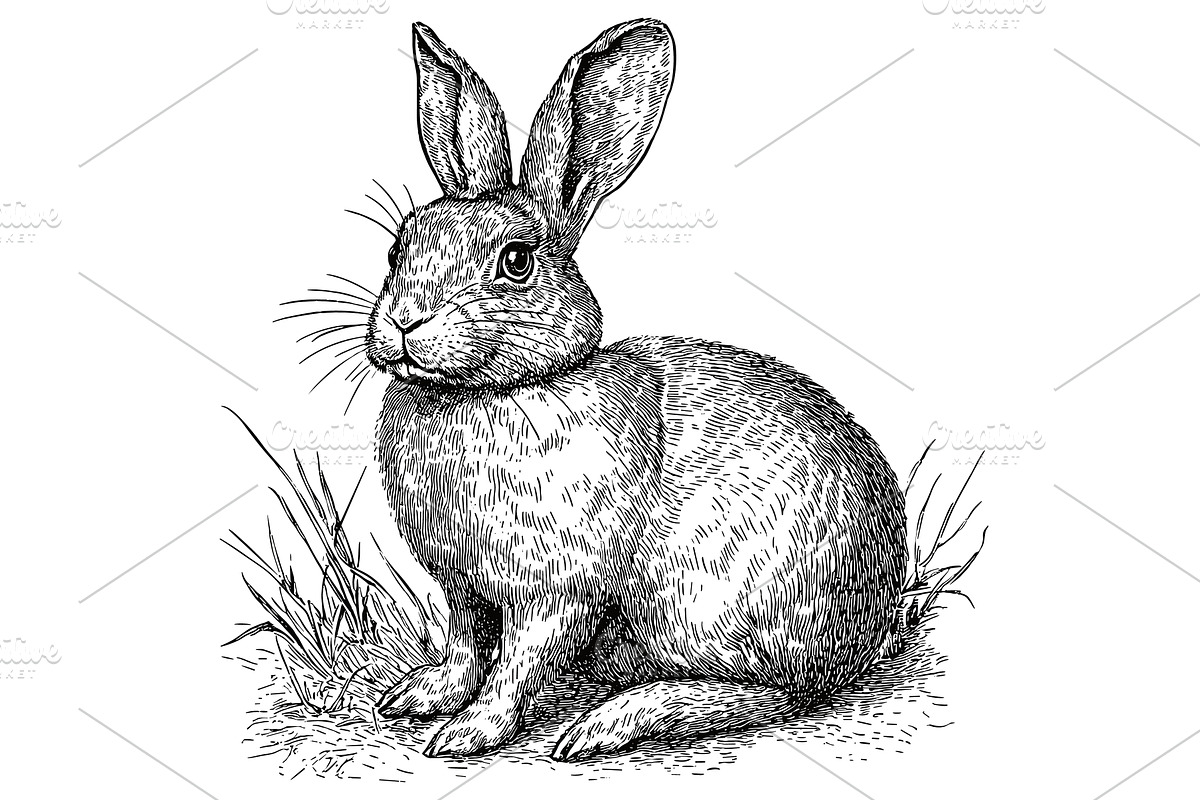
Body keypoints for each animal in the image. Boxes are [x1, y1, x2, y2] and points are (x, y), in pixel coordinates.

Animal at [367, 19, 908, 762]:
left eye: (516, 262)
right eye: (400, 244)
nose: (403, 321)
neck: (491, 391)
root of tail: (872, 618)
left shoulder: (556, 591)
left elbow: (518, 664)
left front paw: (467, 733)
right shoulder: (465, 590)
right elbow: (466, 645)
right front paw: (421, 696)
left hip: (711, 604)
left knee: (766, 695)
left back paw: (610, 722)